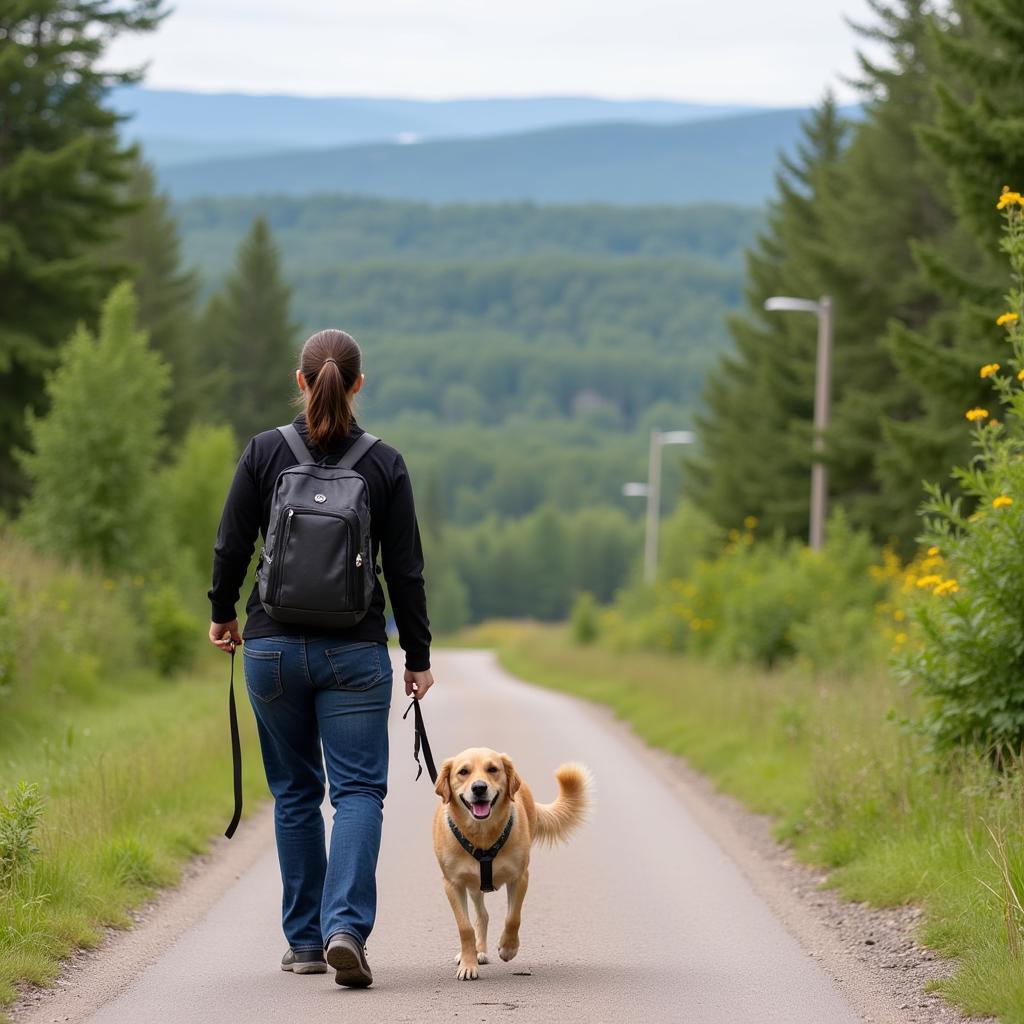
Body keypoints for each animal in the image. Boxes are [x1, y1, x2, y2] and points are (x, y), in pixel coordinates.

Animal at [432, 749, 593, 978]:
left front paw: (508, 948)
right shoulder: (452, 884)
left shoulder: (520, 877)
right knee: (482, 915)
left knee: (487, 915)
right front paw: (468, 964)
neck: (483, 835)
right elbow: (465, 927)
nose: (479, 787)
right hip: (472, 886)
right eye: (463, 772)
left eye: (493, 769)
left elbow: (513, 918)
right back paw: (477, 952)